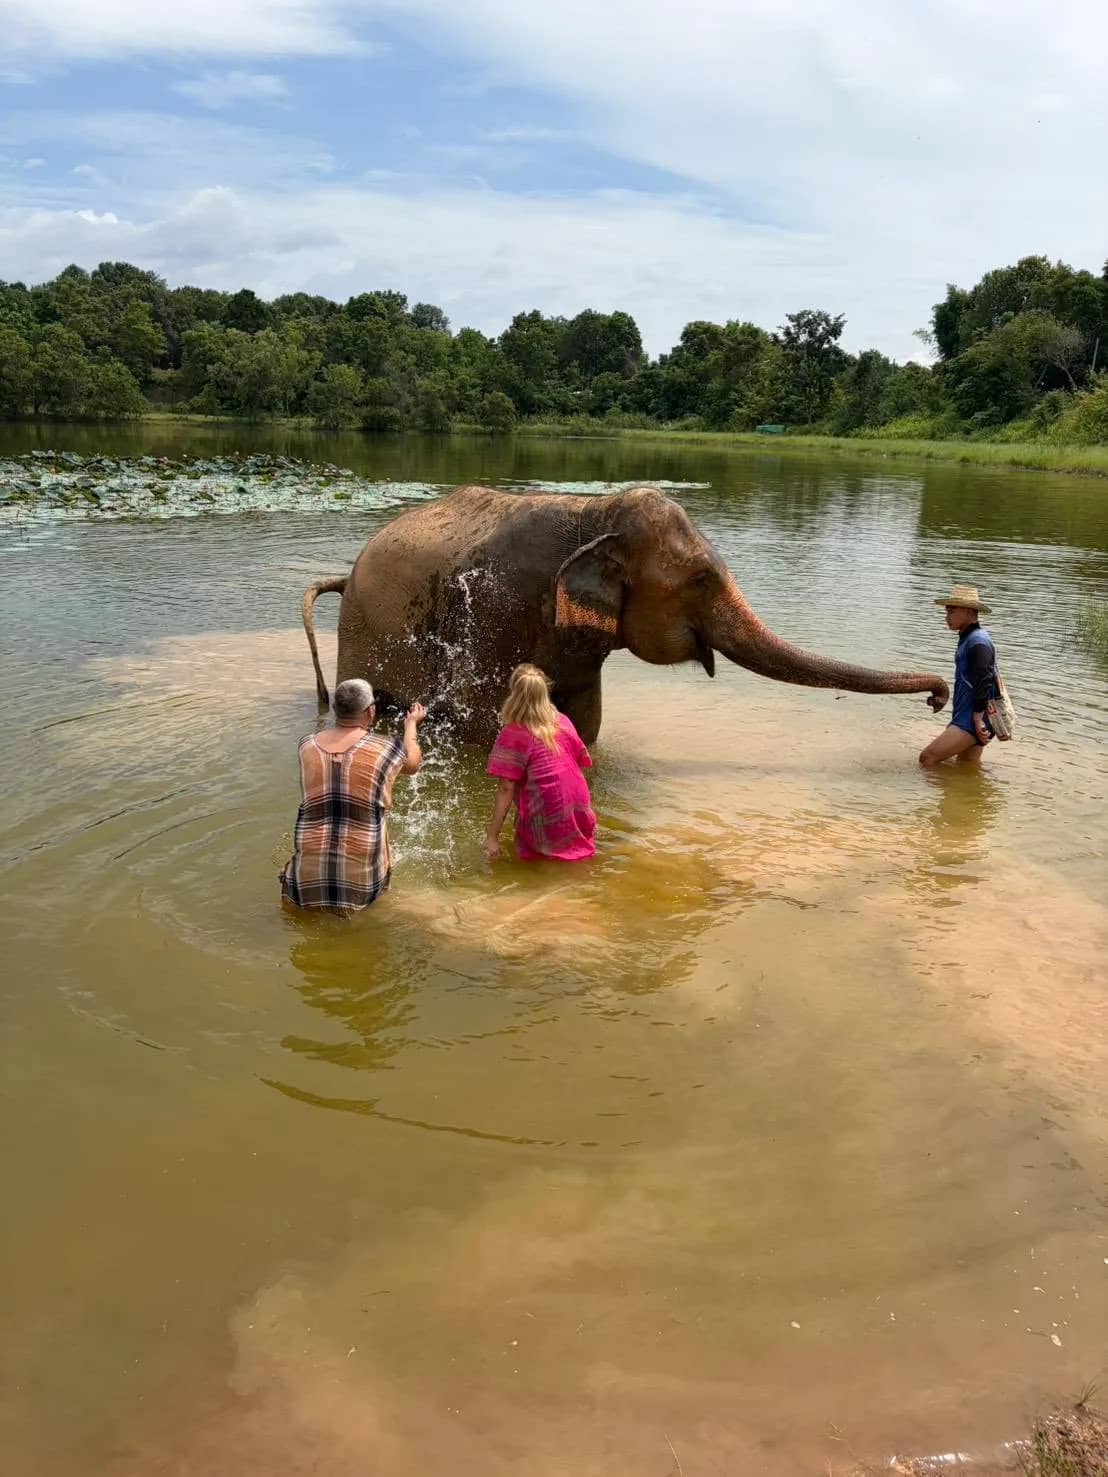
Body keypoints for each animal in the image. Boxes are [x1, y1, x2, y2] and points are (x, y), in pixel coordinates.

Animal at [301, 484, 948, 746]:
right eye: (701, 579)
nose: (939, 698)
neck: (593, 510)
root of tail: (346, 573)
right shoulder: (496, 611)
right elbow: (483, 719)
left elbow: (586, 720)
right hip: (364, 632)